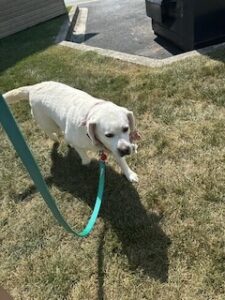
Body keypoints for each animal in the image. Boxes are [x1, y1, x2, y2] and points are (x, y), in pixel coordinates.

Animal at [3, 81, 140, 182]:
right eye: (108, 135)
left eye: (126, 129)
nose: (126, 150)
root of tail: (33, 87)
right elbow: (86, 159)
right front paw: (85, 161)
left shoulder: (114, 147)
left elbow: (121, 161)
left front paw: (130, 174)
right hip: (49, 124)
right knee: (51, 132)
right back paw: (56, 139)